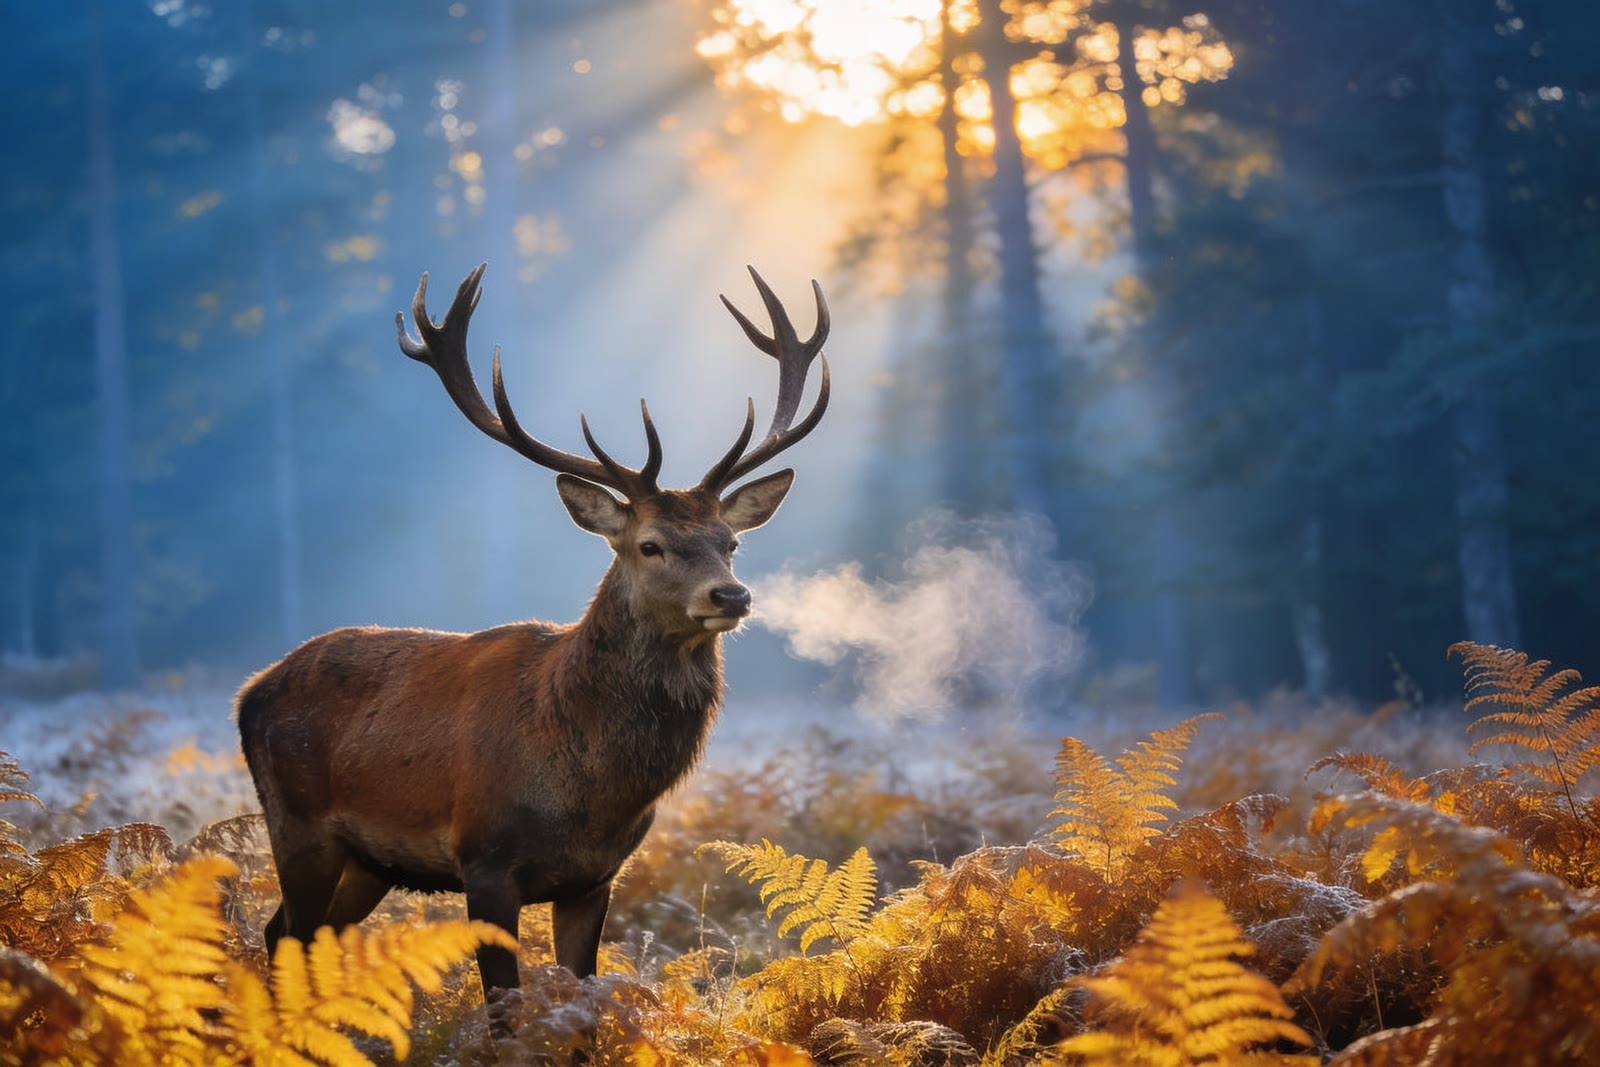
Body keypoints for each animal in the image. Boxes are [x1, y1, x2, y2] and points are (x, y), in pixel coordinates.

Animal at [236, 262, 830, 996]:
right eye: (651, 545)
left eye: (731, 542)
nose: (731, 594)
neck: (587, 790)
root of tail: (249, 692)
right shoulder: (484, 859)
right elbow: (504, 1004)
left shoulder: (594, 878)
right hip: (297, 824)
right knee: (284, 933)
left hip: (368, 861)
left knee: (299, 934)